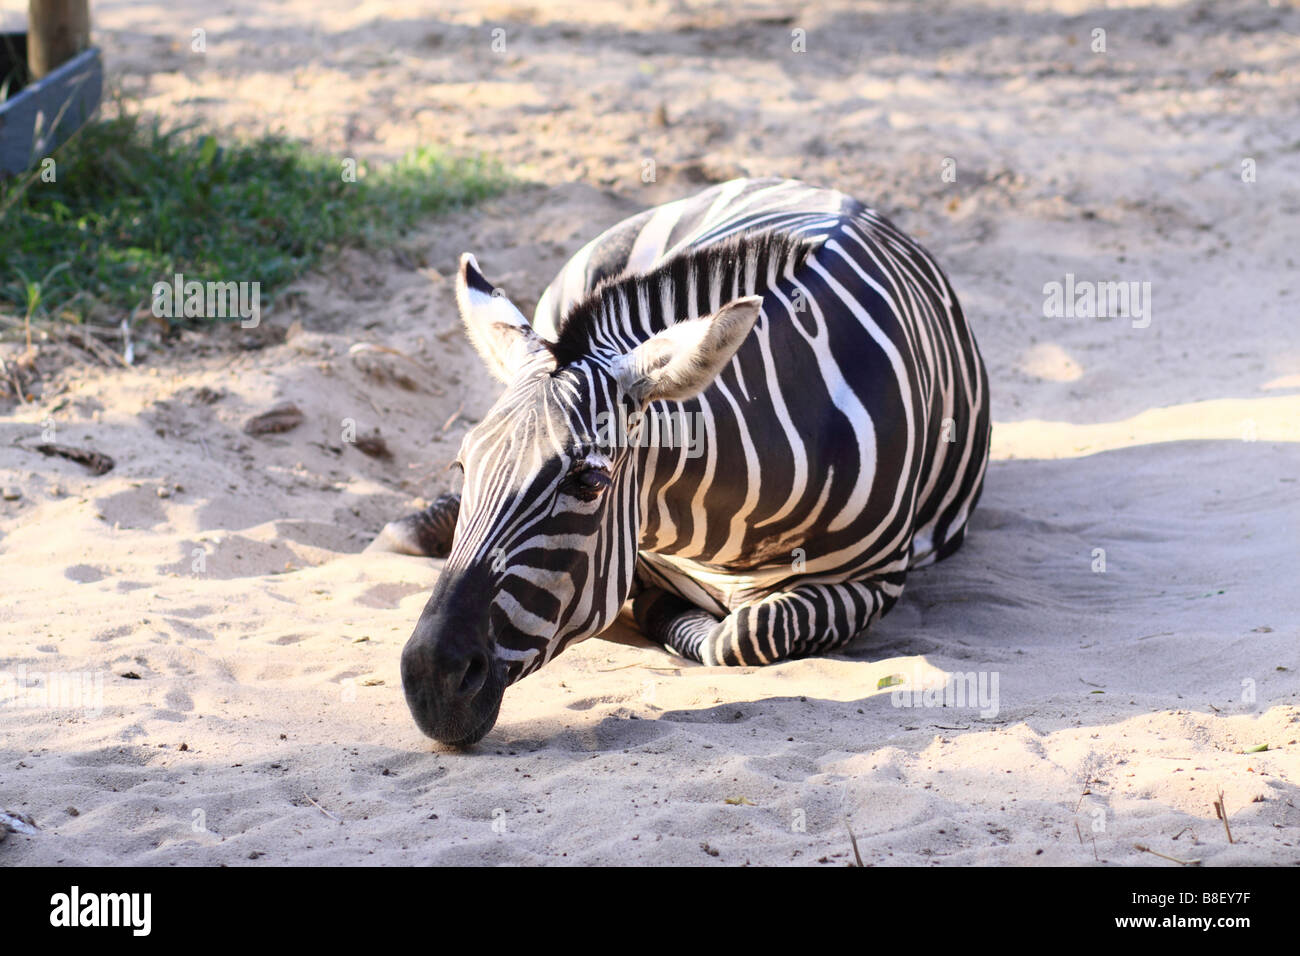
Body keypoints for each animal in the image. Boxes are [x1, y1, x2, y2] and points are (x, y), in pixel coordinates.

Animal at [382, 179, 982, 749]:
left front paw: (659, 610)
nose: (430, 679)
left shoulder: (874, 581)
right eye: (463, 467)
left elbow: (744, 633)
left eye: (590, 481)